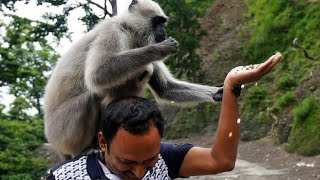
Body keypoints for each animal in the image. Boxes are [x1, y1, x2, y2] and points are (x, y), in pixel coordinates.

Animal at [43, 0, 224, 158]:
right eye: (157, 22)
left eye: (163, 22)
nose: (163, 32)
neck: (129, 30)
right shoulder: (113, 31)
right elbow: (97, 74)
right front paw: (160, 49)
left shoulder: (139, 42)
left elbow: (166, 88)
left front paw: (220, 93)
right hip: (62, 132)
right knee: (91, 97)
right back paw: (83, 149)